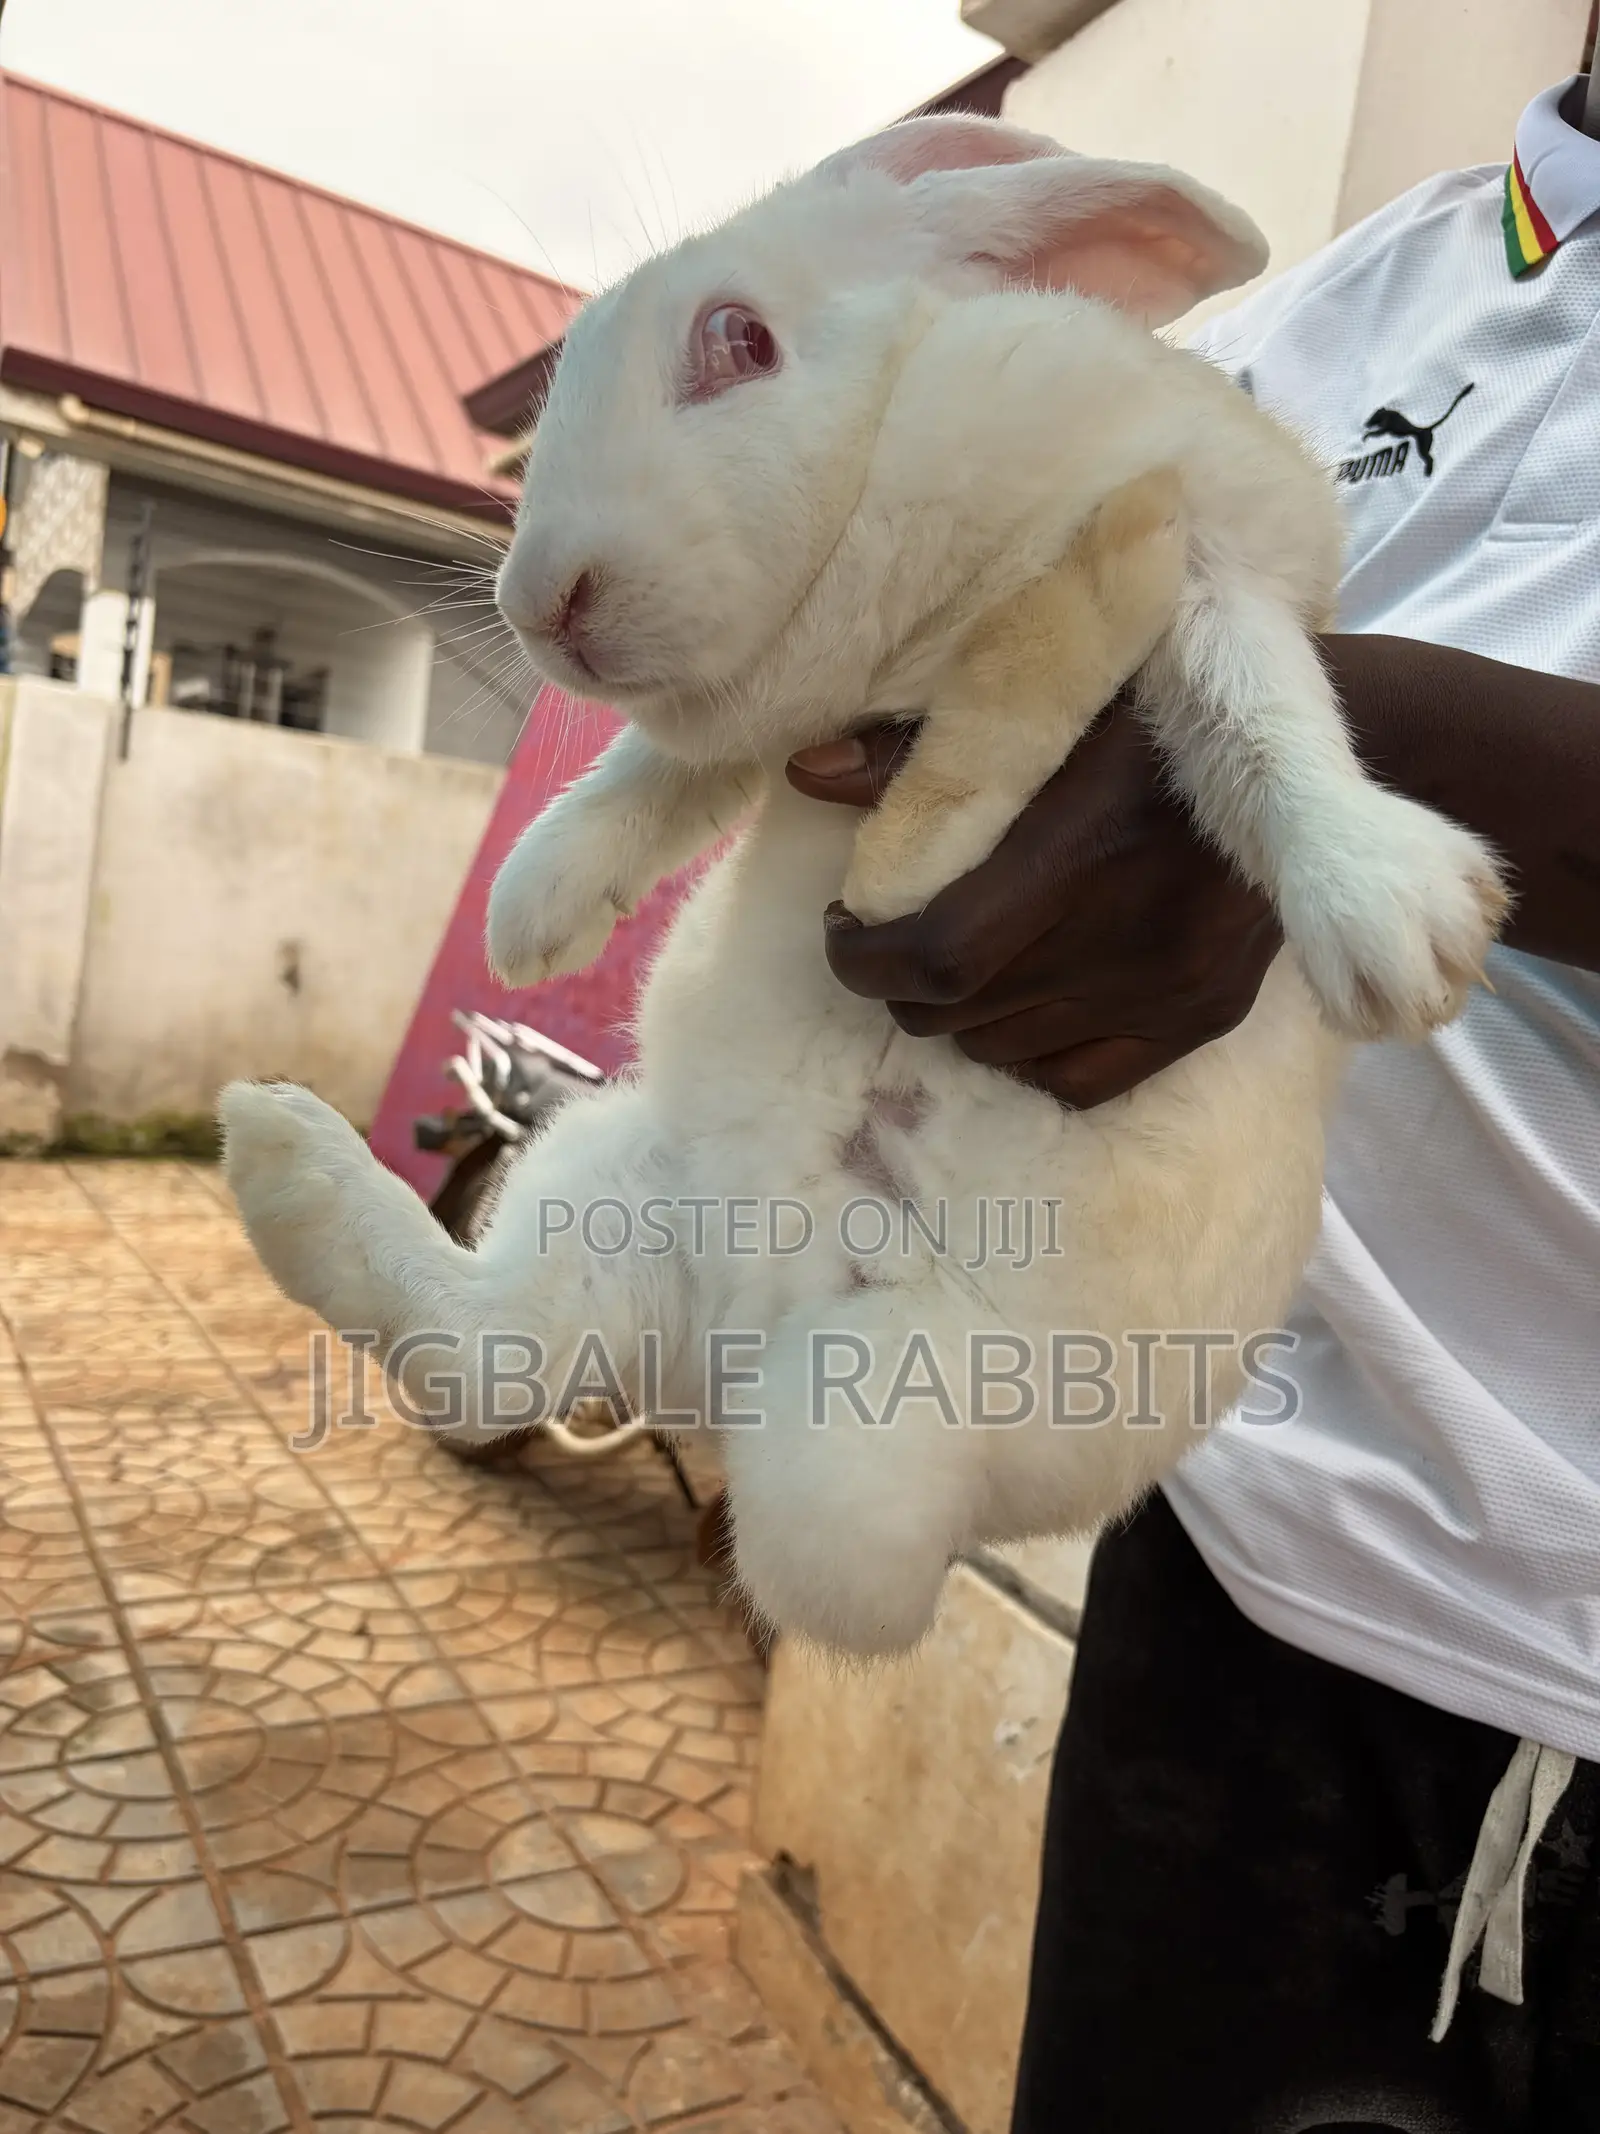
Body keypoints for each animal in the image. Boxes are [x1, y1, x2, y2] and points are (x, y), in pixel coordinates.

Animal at [221, 114, 1507, 1658]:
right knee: (488, 1357)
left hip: (870, 1433)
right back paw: (282, 1151)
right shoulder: (778, 730)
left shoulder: (1230, 559)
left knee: (814, 1577)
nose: (545, 605)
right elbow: (658, 774)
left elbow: (1260, 712)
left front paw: (1398, 923)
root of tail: (725, 1349)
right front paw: (532, 910)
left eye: (737, 339)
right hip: (605, 1183)